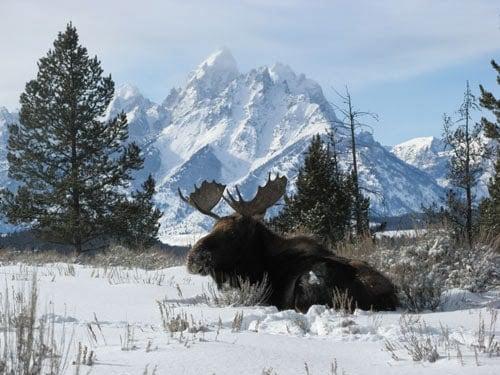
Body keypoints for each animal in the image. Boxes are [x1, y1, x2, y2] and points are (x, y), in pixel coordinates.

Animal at [180, 175, 398, 312]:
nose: (193, 259)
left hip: (310, 281)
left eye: (233, 233)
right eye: (212, 227)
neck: (259, 266)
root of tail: (390, 294)